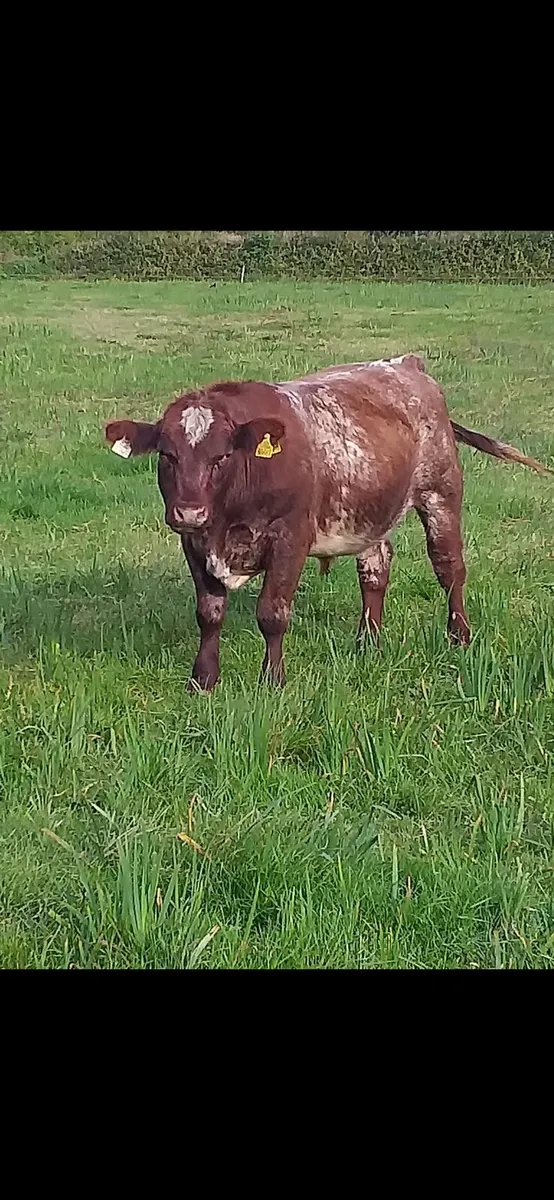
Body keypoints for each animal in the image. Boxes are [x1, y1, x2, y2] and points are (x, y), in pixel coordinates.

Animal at [105, 354, 551, 691]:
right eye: (167, 456)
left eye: (222, 456)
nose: (189, 512)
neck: (227, 520)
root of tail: (405, 363)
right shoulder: (195, 544)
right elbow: (209, 612)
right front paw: (202, 680)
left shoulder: (290, 538)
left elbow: (272, 613)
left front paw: (272, 681)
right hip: (371, 514)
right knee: (375, 571)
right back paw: (368, 642)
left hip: (441, 493)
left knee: (449, 569)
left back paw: (459, 637)